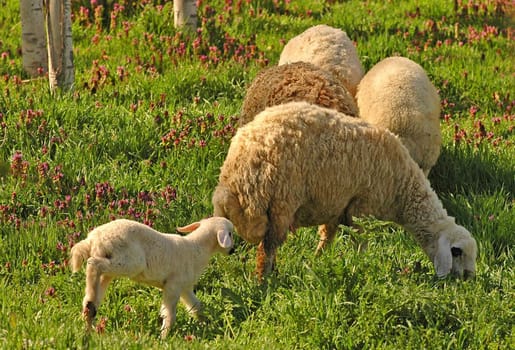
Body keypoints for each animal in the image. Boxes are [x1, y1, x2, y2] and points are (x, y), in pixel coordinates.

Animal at [69, 217, 235, 338]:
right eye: (230, 233)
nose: (233, 250)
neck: (196, 248)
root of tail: (94, 238)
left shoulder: (185, 287)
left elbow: (196, 306)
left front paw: (206, 323)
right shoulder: (173, 285)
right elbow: (169, 313)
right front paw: (164, 336)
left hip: (110, 267)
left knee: (95, 281)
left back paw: (89, 314)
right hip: (130, 261)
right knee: (92, 264)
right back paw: (90, 310)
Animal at [212, 101, 478, 282]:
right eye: (456, 252)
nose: (468, 279)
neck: (403, 190)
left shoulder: (336, 206)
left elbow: (327, 237)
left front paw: (316, 261)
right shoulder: (363, 208)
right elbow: (361, 242)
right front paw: (360, 265)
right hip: (280, 202)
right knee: (266, 250)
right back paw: (264, 281)